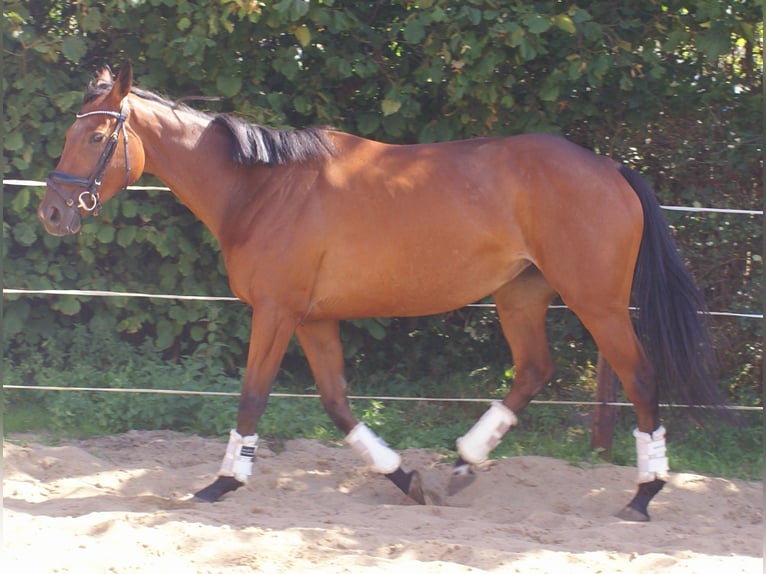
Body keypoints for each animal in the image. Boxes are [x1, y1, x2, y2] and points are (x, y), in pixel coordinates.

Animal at [38, 63, 722, 522]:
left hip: (596, 301)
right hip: (521, 294)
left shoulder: (276, 313)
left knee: (640, 376)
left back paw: (644, 493)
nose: (52, 212)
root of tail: (612, 166)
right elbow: (338, 405)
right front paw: (405, 477)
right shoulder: (312, 319)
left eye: (96, 138)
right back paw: (463, 464)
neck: (263, 190)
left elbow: (252, 397)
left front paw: (222, 483)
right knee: (534, 369)